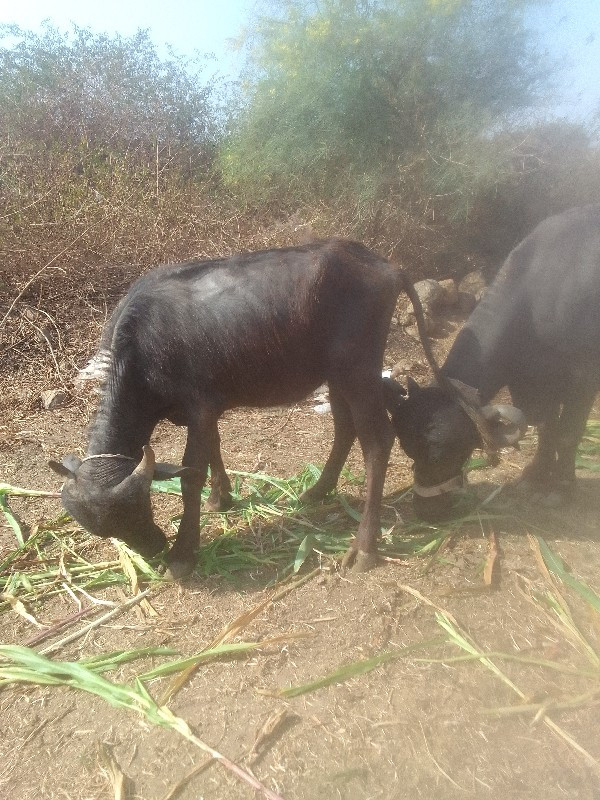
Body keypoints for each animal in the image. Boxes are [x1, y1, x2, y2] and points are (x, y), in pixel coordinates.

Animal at [50, 236, 426, 576]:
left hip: (358, 372)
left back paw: (363, 548)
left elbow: (191, 476)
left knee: (377, 441)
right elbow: (214, 448)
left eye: (141, 506)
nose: (154, 548)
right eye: (106, 530)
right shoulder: (205, 412)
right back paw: (318, 491)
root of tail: (384, 265)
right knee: (344, 428)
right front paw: (221, 497)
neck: (146, 350)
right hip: (335, 377)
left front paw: (183, 553)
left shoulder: (199, 409)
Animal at [384, 203, 600, 520]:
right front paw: (536, 476)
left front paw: (560, 489)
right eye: (408, 449)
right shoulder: (527, 379)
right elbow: (546, 426)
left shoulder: (584, 378)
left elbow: (567, 433)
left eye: (441, 454)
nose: (425, 510)